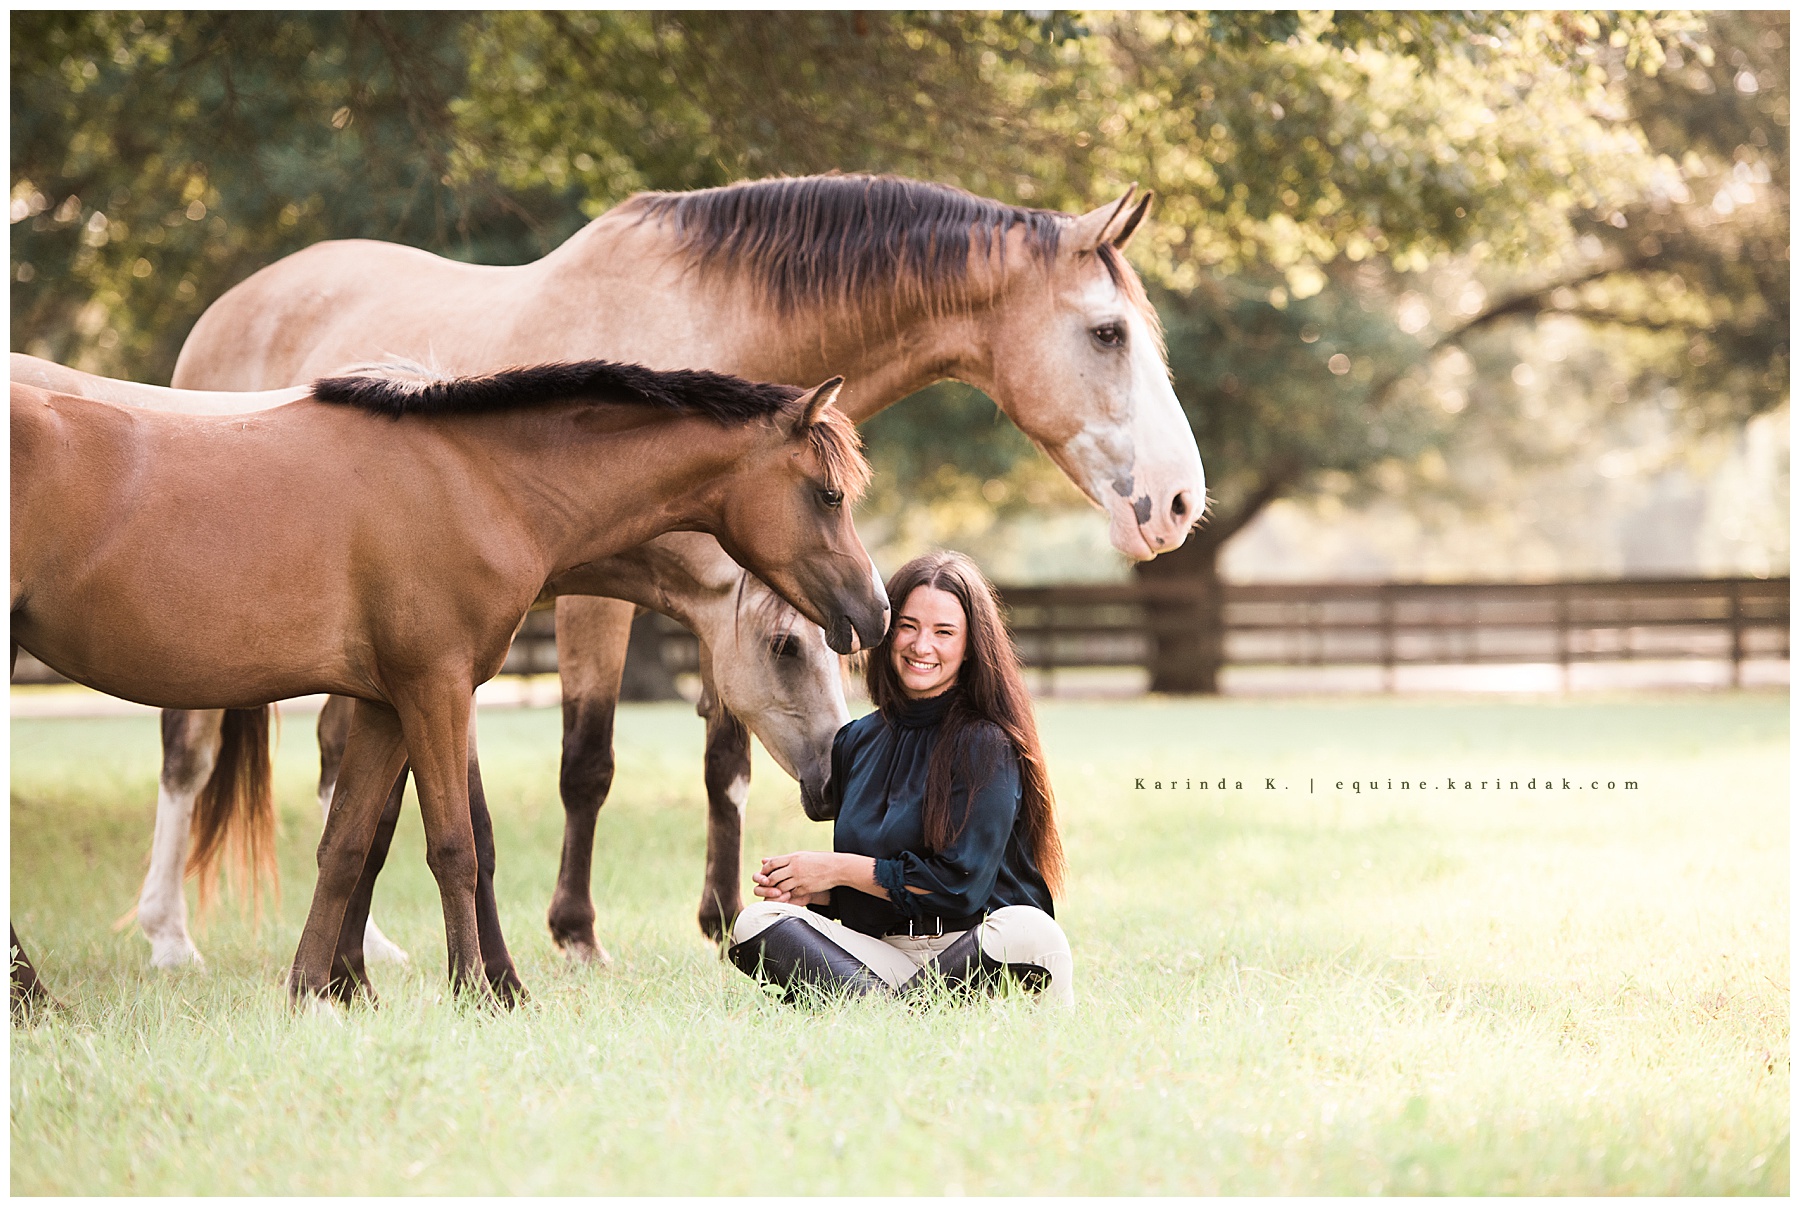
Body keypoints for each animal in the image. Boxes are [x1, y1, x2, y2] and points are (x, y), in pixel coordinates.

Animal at [10, 359, 886, 1006]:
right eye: (829, 494)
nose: (875, 613)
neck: (474, 481)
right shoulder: (435, 687)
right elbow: (456, 844)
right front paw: (477, 990)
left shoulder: (383, 701)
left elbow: (349, 844)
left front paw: (316, 989)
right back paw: (36, 995)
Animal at [163, 171, 1208, 961]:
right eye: (1108, 333)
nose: (1180, 503)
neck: (705, 324)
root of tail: (234, 305)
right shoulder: (584, 603)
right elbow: (584, 764)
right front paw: (575, 933)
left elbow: (724, 763)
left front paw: (719, 916)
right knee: (190, 751)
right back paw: (168, 936)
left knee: (335, 749)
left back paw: (369, 943)